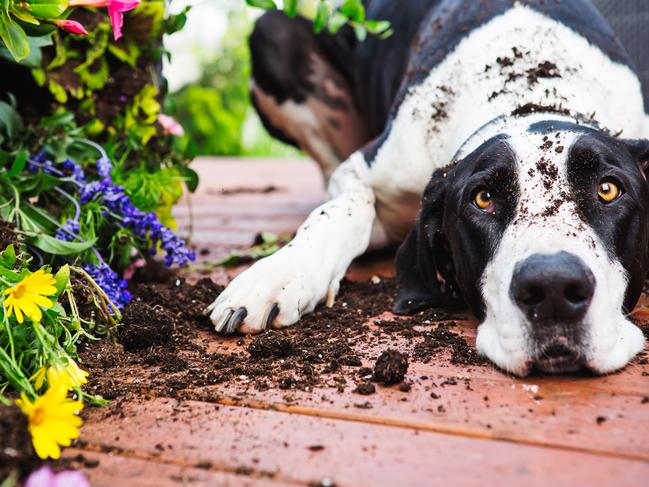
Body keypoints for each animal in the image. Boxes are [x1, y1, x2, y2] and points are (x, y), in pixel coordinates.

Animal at [206, 0, 648, 378]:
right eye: (483, 199)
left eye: (608, 190)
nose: (553, 287)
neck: (531, 93)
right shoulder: (364, 171)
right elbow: (344, 209)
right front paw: (280, 273)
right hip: (272, 32)